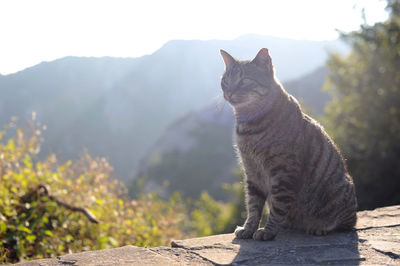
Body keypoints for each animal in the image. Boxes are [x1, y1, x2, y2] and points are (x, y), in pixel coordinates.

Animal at [220, 48, 358, 241]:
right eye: (225, 81)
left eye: (244, 81)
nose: (228, 93)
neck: (248, 126)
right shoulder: (251, 172)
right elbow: (253, 206)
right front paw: (248, 228)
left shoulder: (283, 171)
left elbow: (278, 206)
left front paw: (268, 231)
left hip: (339, 193)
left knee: (345, 224)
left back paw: (319, 226)